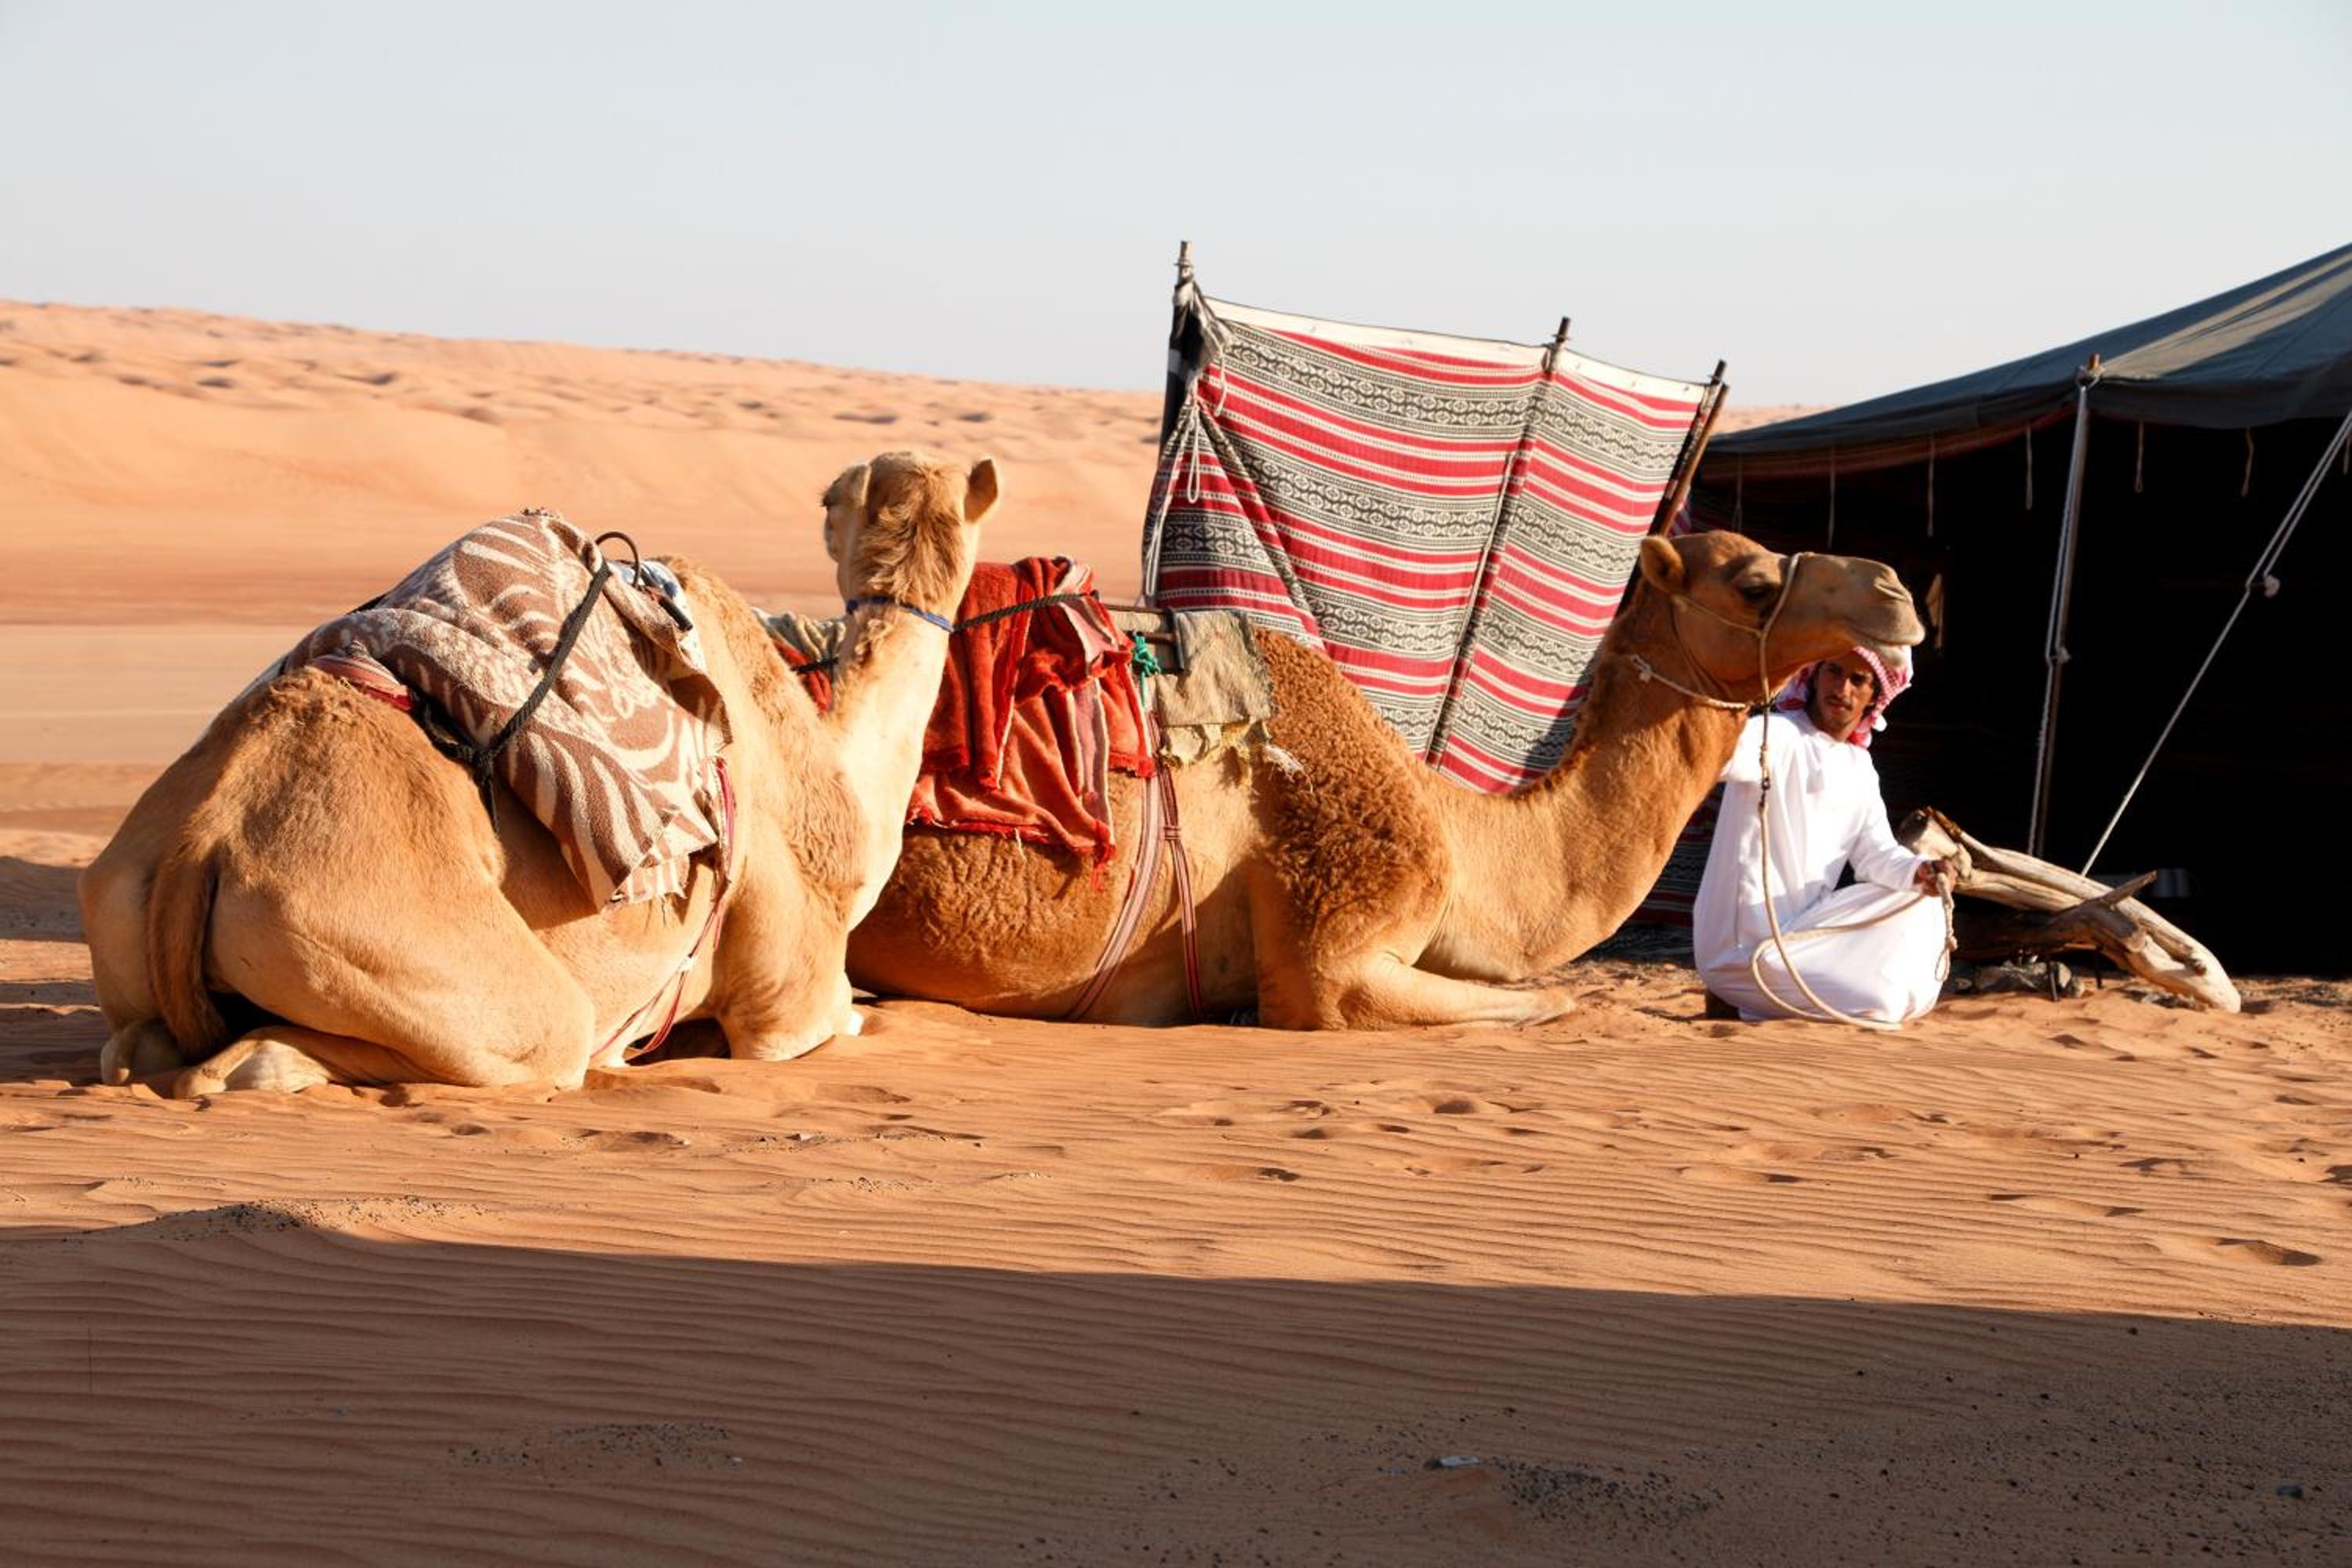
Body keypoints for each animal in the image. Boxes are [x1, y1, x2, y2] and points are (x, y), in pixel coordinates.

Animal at [79, 450, 995, 1094]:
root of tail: (203, 838)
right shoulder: (788, 1007)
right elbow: (836, 1021)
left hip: (124, 907)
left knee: (136, 1046)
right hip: (392, 945)